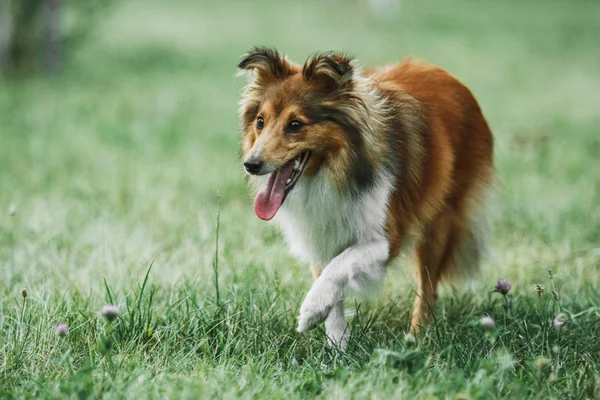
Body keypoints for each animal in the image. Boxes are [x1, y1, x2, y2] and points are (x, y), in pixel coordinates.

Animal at [237, 46, 494, 346]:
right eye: (260, 121)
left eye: (295, 125)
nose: (251, 164)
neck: (333, 173)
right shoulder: (321, 235)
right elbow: (331, 283)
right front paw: (336, 345)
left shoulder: (386, 238)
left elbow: (340, 265)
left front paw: (311, 310)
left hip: (439, 225)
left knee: (428, 289)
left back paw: (415, 339)